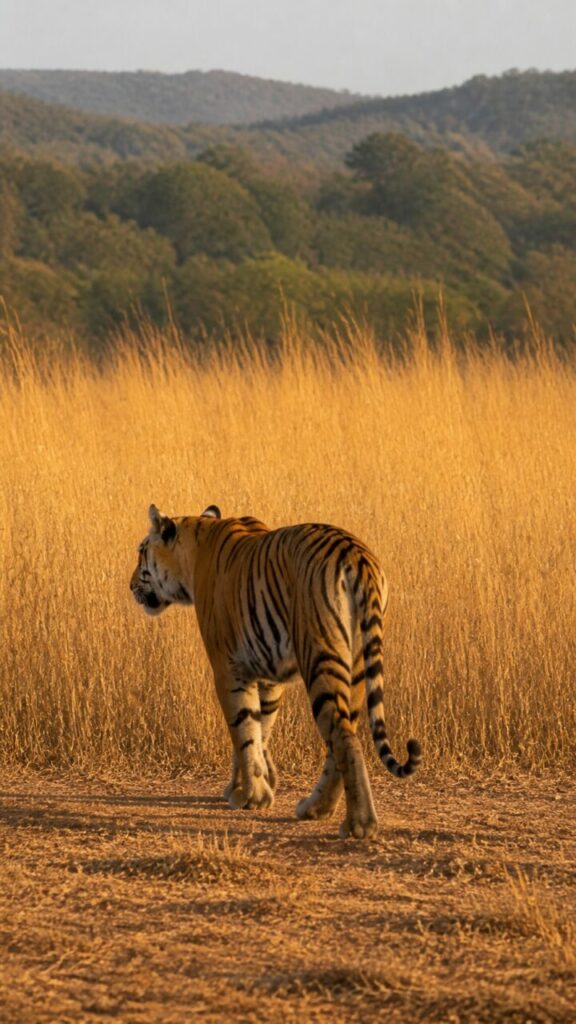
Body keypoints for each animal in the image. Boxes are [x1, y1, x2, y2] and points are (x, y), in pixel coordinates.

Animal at [130, 504, 421, 839]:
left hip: (320, 655)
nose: (130, 585)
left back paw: (359, 824)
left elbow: (242, 730)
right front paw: (249, 786)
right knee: (340, 738)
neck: (196, 545)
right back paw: (316, 808)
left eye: (141, 552)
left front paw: (251, 796)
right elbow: (259, 730)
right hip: (357, 668)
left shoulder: (227, 668)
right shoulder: (268, 674)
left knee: (343, 737)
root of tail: (356, 554)